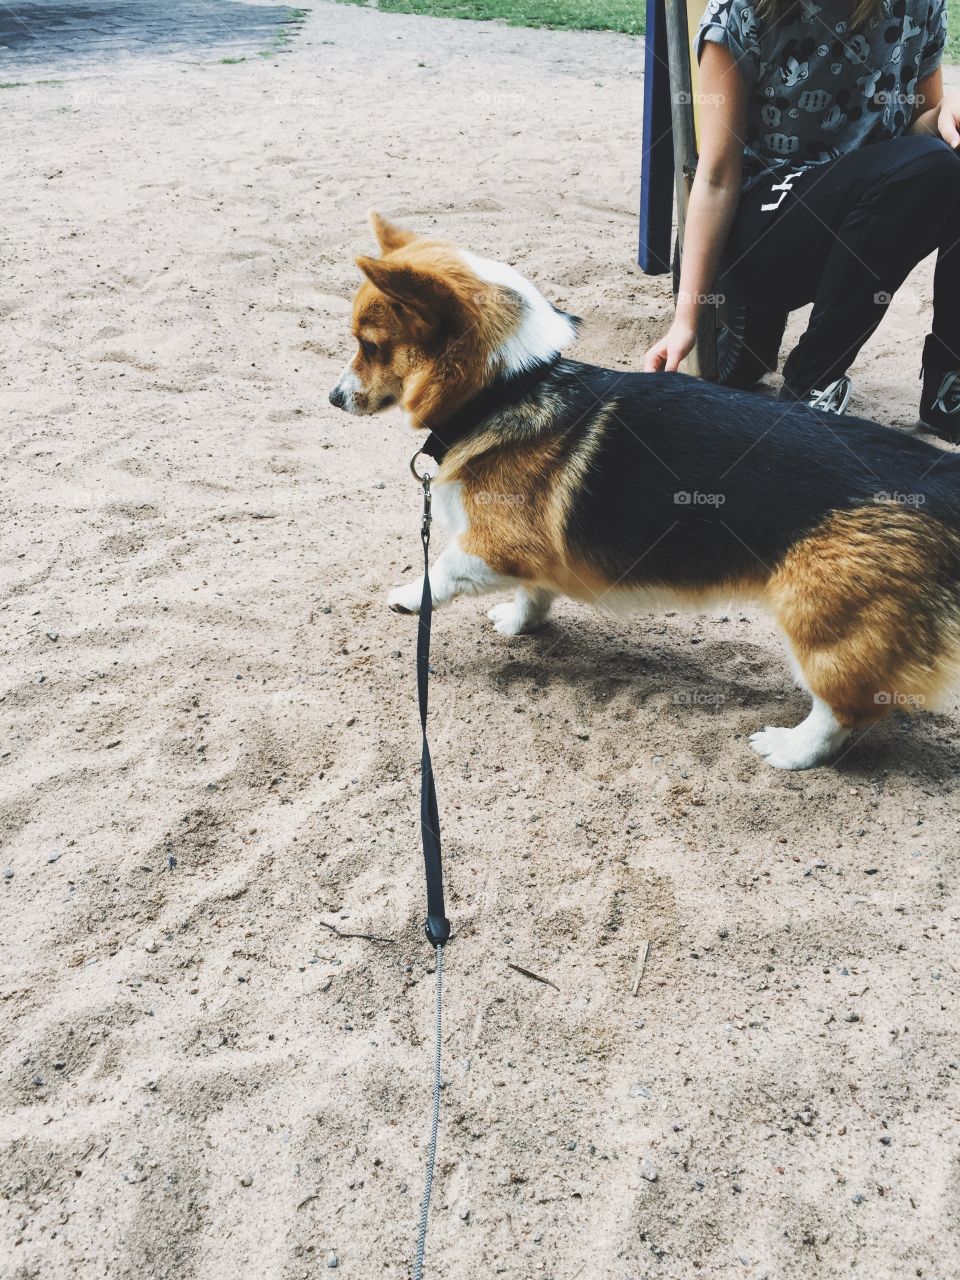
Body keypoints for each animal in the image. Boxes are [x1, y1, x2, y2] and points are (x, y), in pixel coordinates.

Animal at [330, 212, 960, 768]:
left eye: (370, 345)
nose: (333, 399)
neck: (510, 386)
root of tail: (938, 475)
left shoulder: (492, 545)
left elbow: (443, 569)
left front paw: (409, 596)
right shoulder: (533, 553)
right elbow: (535, 591)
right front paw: (519, 621)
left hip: (821, 623)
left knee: (842, 710)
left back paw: (788, 749)